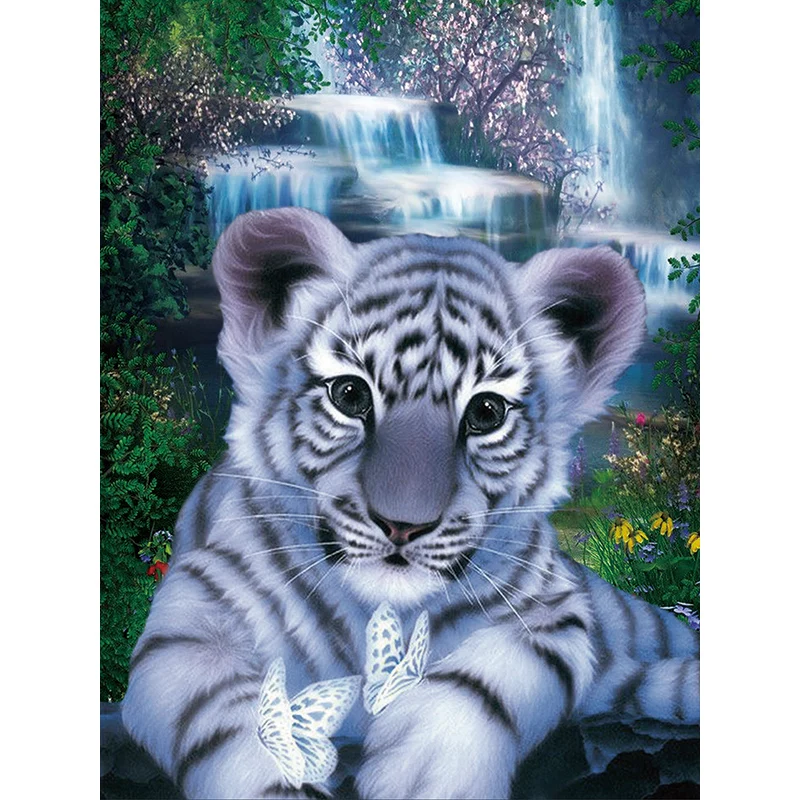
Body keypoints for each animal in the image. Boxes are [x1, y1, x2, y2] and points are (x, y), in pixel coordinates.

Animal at [121, 207, 699, 800]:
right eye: (349, 395)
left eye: (486, 412)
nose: (402, 525)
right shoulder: (189, 620)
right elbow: (234, 717)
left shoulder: (555, 610)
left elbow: (492, 673)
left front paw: (427, 767)